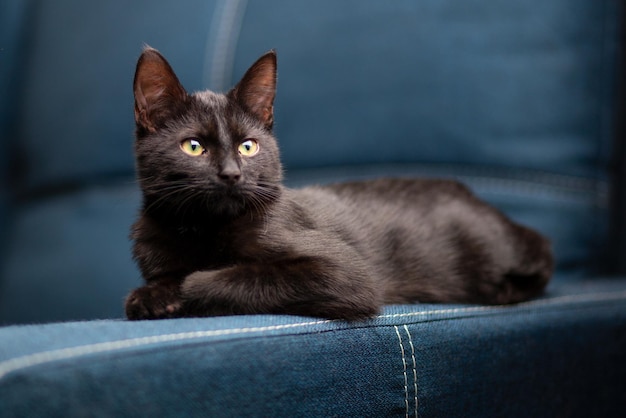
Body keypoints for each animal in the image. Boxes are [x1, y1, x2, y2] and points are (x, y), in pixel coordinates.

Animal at [123, 47, 552, 320]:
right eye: (193, 147)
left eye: (248, 146)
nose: (231, 173)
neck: (204, 228)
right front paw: (153, 295)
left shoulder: (344, 273)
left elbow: (224, 277)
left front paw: (180, 290)